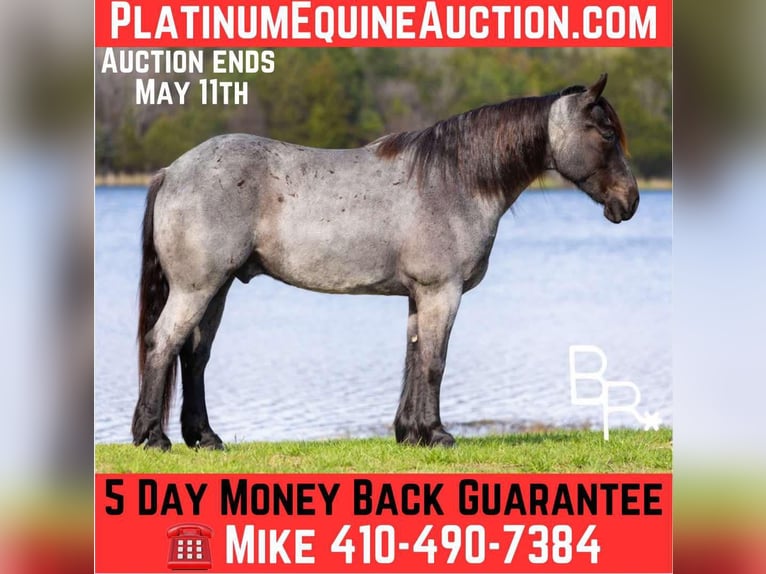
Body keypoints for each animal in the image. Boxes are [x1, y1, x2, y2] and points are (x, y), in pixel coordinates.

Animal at [132, 73, 638, 450]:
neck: (455, 180)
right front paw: (437, 434)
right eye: (605, 133)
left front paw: (410, 433)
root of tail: (171, 171)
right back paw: (153, 437)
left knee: (195, 355)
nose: (629, 201)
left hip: (217, 287)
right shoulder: (441, 292)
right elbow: (434, 361)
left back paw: (204, 438)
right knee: (163, 343)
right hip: (197, 288)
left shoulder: (419, 295)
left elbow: (413, 358)